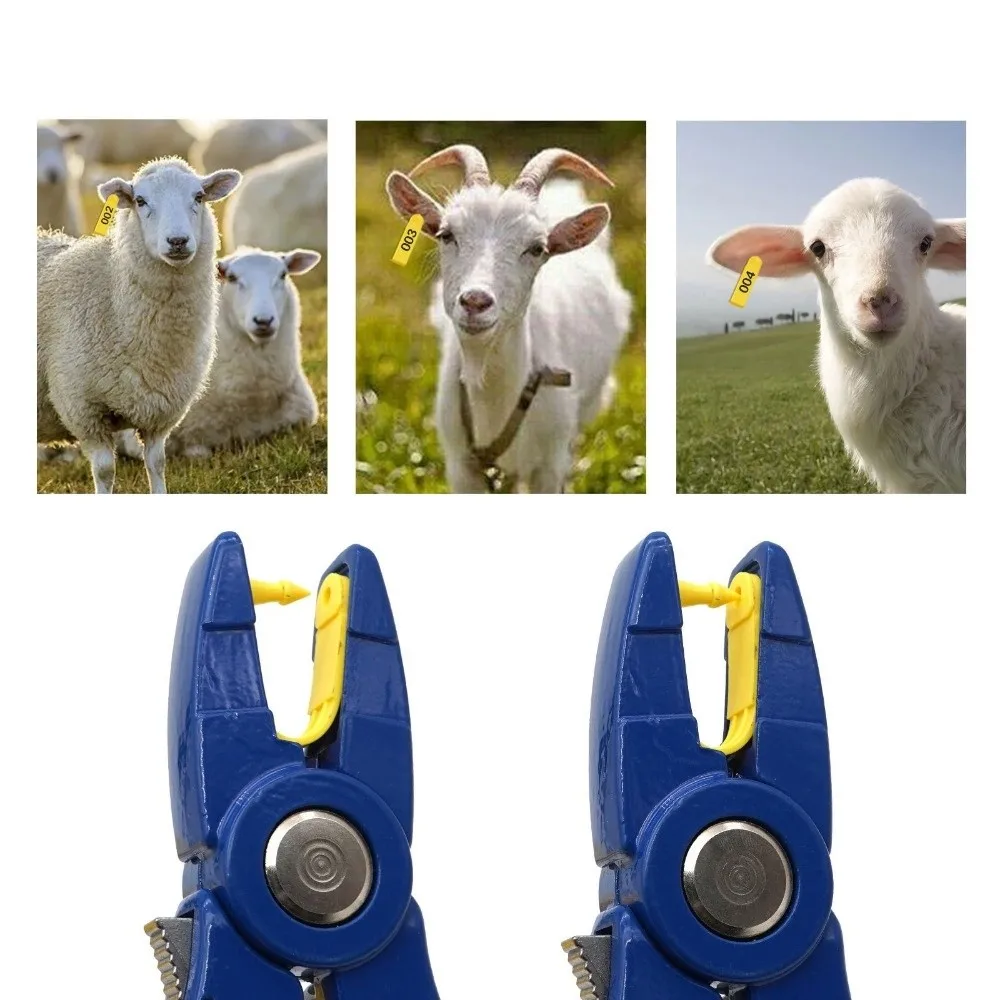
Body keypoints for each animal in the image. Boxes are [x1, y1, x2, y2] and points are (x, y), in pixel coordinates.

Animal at [37, 157, 241, 493]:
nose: (177, 241)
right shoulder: (83, 409)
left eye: (199, 197)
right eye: (141, 201)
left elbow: (156, 464)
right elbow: (105, 471)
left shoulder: (161, 412)